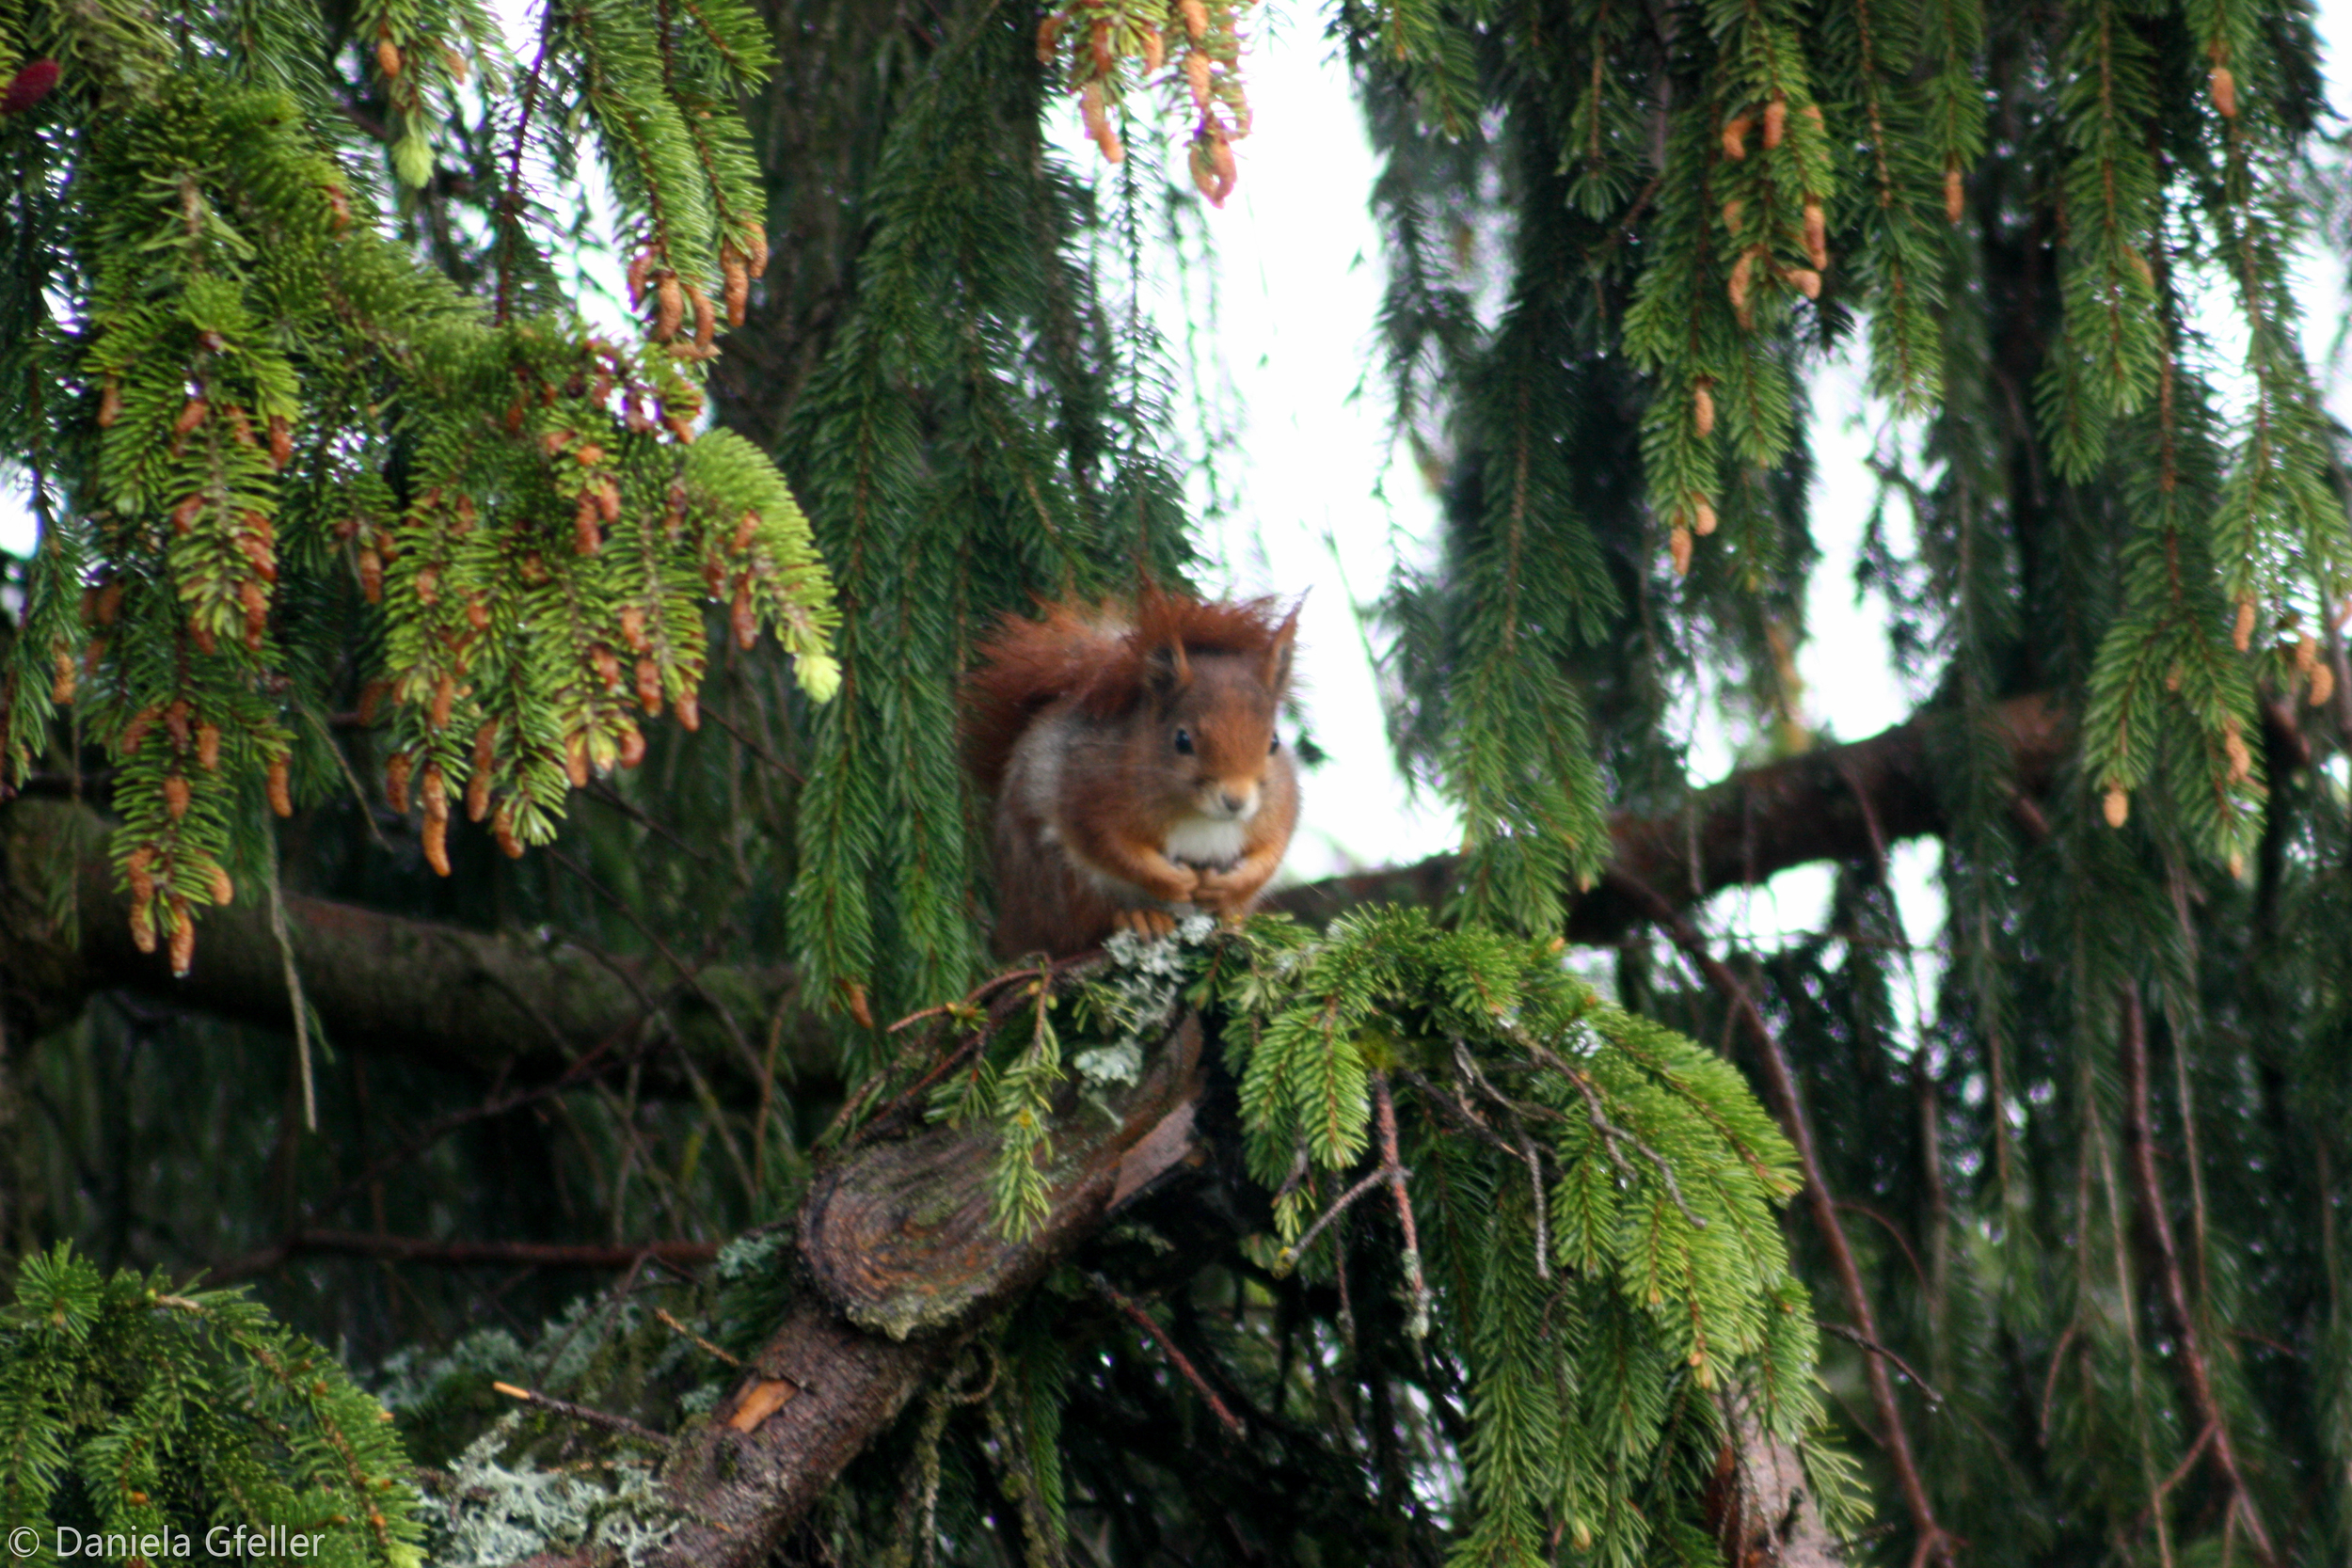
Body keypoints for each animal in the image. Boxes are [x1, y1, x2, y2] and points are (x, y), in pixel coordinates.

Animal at [969, 587, 1308, 958]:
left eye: (1274, 741)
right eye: (1182, 740)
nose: (1236, 801)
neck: (1201, 815)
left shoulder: (1282, 806)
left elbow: (1271, 851)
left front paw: (1230, 885)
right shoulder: (1089, 789)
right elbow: (1112, 847)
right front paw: (1173, 880)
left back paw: (1229, 918)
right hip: (1055, 879)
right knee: (1085, 925)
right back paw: (1140, 916)